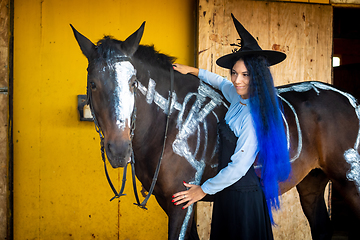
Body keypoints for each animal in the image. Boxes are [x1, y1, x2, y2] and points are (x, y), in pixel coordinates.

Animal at [71, 23, 360, 240]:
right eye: (93, 84)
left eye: (132, 82)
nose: (119, 150)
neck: (171, 123)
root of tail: (350, 99)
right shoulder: (170, 201)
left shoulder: (181, 203)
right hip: (312, 183)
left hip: (351, 182)